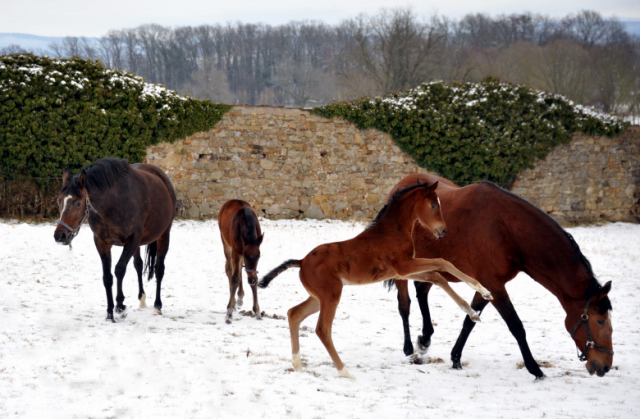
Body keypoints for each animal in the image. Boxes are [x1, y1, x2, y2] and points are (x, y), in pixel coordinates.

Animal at [53, 158, 175, 322]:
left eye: (78, 203)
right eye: (59, 201)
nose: (60, 236)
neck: (113, 203)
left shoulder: (131, 241)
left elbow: (119, 270)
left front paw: (120, 306)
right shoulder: (102, 243)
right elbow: (107, 277)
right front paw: (110, 313)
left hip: (164, 235)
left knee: (159, 268)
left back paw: (157, 305)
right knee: (138, 265)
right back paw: (142, 299)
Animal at [260, 182, 496, 378]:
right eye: (432, 205)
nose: (443, 230)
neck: (393, 230)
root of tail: (302, 262)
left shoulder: (401, 271)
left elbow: (437, 276)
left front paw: (473, 310)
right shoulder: (404, 266)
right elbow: (442, 263)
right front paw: (483, 291)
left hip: (318, 297)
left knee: (294, 314)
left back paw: (298, 365)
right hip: (331, 295)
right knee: (322, 329)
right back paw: (344, 372)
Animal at [388, 174, 612, 380]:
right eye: (600, 321)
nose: (606, 365)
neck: (505, 229)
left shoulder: (486, 286)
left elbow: (469, 321)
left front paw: (456, 359)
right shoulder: (495, 286)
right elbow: (516, 326)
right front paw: (535, 369)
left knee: (422, 293)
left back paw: (425, 339)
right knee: (405, 305)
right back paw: (409, 348)